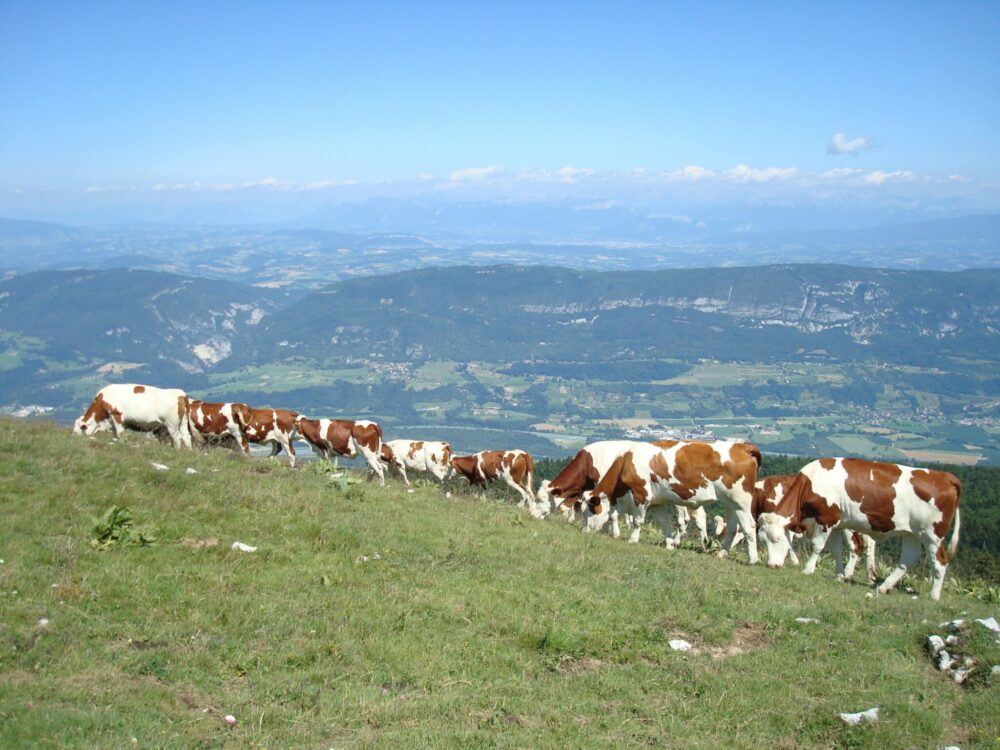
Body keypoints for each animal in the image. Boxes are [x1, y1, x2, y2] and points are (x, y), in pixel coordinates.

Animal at [584, 440, 760, 564]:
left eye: (591, 509)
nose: (584, 530)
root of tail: (742, 447)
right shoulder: (657, 502)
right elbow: (664, 522)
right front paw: (669, 543)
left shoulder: (641, 494)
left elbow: (637, 521)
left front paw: (633, 539)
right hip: (730, 504)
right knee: (732, 528)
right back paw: (722, 553)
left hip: (741, 502)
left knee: (749, 527)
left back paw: (752, 559)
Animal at [756, 456, 960, 604]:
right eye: (763, 541)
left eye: (777, 539)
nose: (772, 565)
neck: (811, 483)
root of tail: (946, 477)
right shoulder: (836, 524)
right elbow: (836, 551)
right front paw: (840, 575)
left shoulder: (826, 520)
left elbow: (817, 547)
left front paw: (808, 569)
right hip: (912, 533)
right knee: (908, 558)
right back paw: (884, 587)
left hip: (933, 534)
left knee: (940, 561)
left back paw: (934, 595)